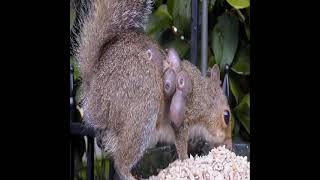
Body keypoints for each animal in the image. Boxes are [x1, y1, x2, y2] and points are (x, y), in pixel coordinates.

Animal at [73, 0, 231, 179]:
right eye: (226, 116)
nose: (229, 144)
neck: (203, 97)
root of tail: (93, 92)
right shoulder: (184, 115)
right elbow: (180, 140)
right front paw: (186, 161)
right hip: (142, 109)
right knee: (121, 162)